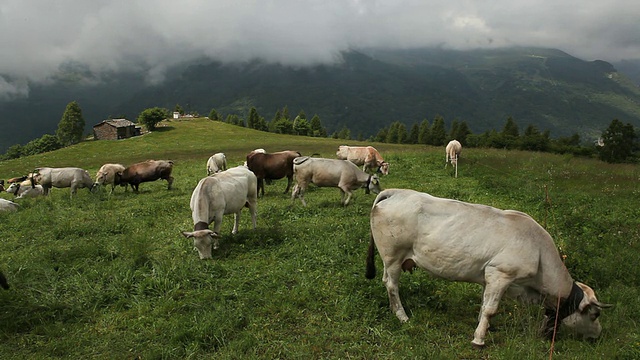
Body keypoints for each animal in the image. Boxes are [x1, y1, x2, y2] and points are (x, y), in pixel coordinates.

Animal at [364, 190, 608, 348]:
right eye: (595, 314)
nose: (598, 336)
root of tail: (396, 192)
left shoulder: (488, 278)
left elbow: (484, 306)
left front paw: (483, 328)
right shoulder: (500, 274)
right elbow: (491, 309)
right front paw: (479, 339)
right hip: (393, 256)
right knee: (391, 284)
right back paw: (401, 315)